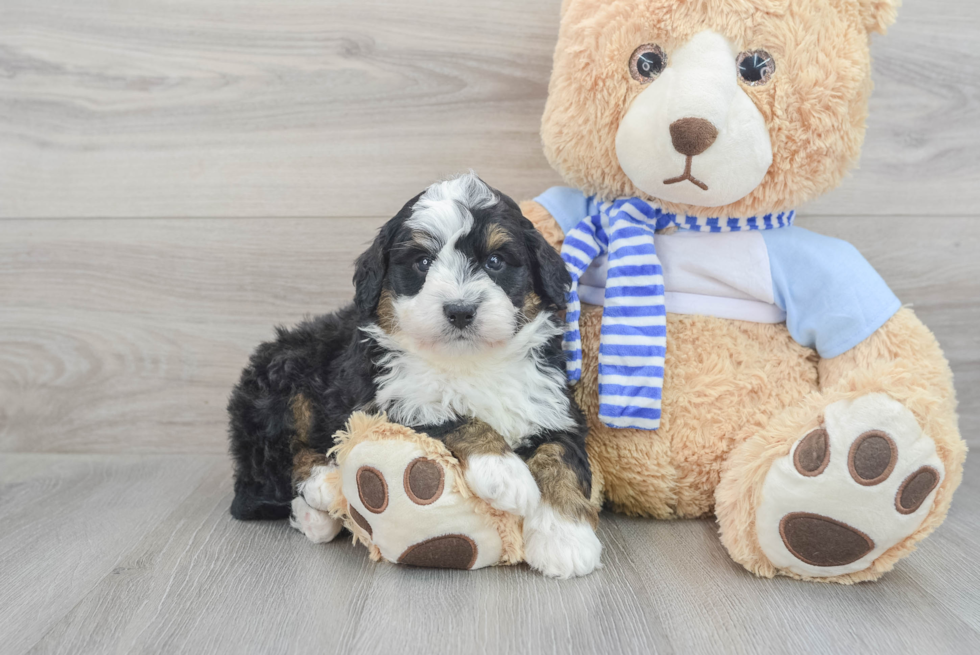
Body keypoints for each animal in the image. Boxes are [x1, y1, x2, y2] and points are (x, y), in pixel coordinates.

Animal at [227, 174, 600, 580]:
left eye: (496, 261)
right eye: (422, 262)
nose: (460, 310)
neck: (468, 361)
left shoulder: (551, 404)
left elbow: (560, 456)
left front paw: (565, 539)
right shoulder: (387, 401)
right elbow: (450, 416)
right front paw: (503, 472)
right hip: (283, 378)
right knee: (277, 457)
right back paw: (322, 485)